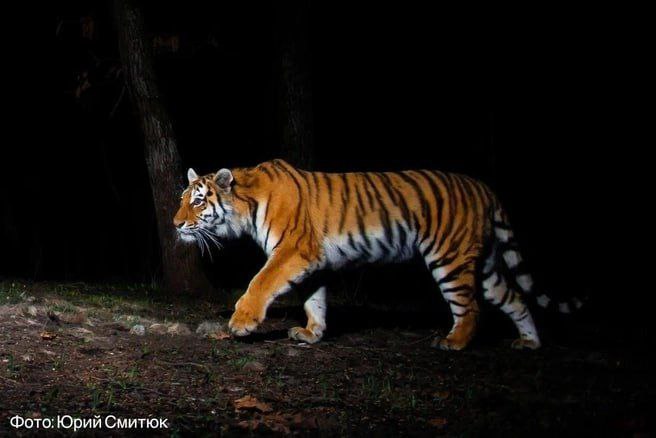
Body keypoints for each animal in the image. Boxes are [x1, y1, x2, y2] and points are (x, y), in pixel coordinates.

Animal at [173, 159, 548, 350]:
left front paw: (242, 323)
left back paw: (453, 341)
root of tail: (484, 187)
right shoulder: (314, 261)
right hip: (484, 264)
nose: (175, 224)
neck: (247, 204)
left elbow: (261, 282)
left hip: (449, 257)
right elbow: (314, 300)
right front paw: (312, 333)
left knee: (470, 307)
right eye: (182, 199)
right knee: (514, 297)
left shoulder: (293, 249)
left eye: (198, 201)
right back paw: (529, 342)